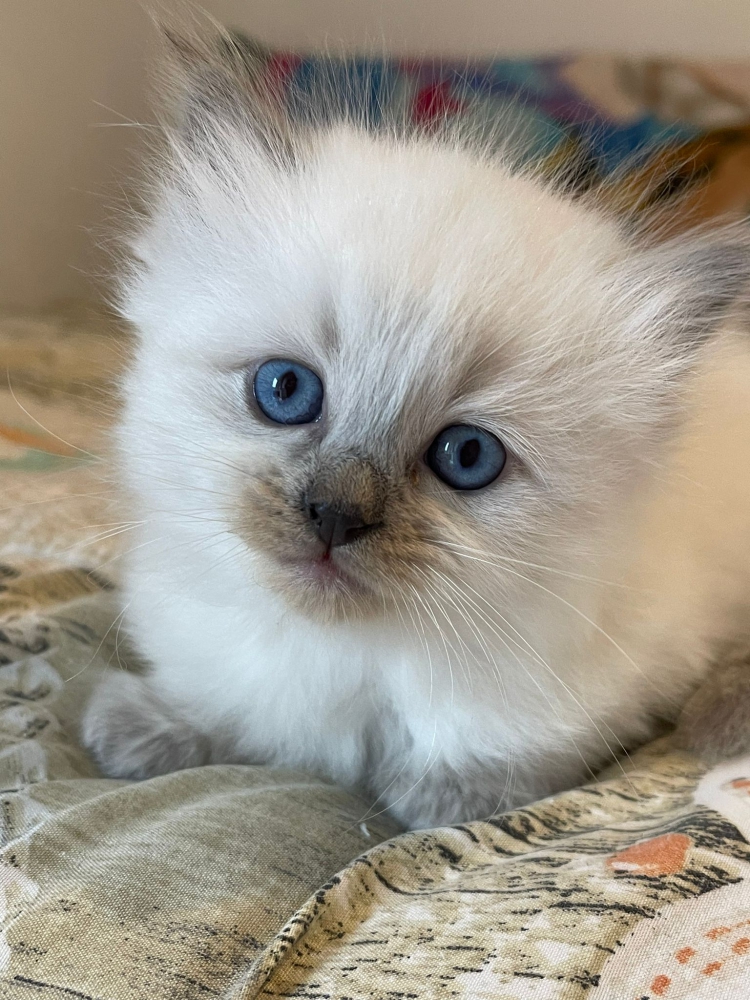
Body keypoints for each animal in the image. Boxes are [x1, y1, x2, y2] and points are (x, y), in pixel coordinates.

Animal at [81, 31, 750, 828]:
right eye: (285, 390)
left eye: (468, 456)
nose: (334, 515)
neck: (339, 653)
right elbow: (231, 711)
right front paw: (148, 729)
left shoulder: (628, 676)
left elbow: (500, 767)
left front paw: (434, 794)